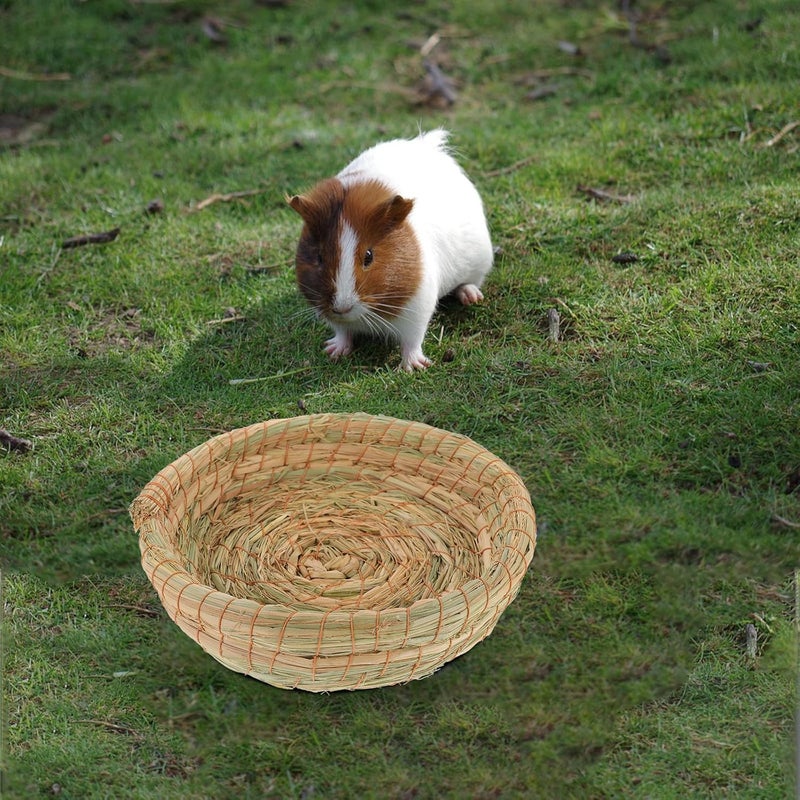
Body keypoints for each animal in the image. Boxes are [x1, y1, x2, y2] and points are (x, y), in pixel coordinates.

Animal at [287, 129, 493, 371]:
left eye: (369, 256)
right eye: (319, 256)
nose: (342, 307)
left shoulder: (418, 309)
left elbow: (412, 341)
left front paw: (413, 367)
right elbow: (343, 332)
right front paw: (334, 352)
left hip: (479, 263)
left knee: (470, 283)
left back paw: (471, 297)